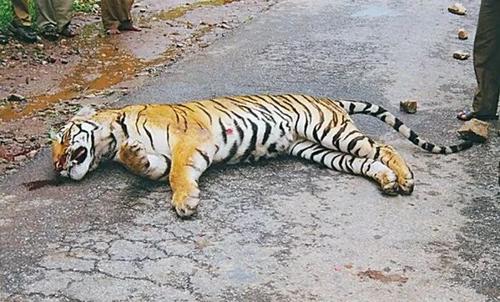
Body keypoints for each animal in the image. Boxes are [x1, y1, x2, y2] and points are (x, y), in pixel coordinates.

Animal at [51, 95, 472, 216]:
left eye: (64, 137)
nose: (57, 169)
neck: (111, 137)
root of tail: (331, 100)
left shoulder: (188, 142)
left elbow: (177, 175)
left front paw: (186, 202)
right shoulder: (161, 157)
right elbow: (149, 167)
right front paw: (134, 154)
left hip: (331, 132)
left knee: (383, 146)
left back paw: (405, 178)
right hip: (318, 150)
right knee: (367, 161)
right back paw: (387, 182)